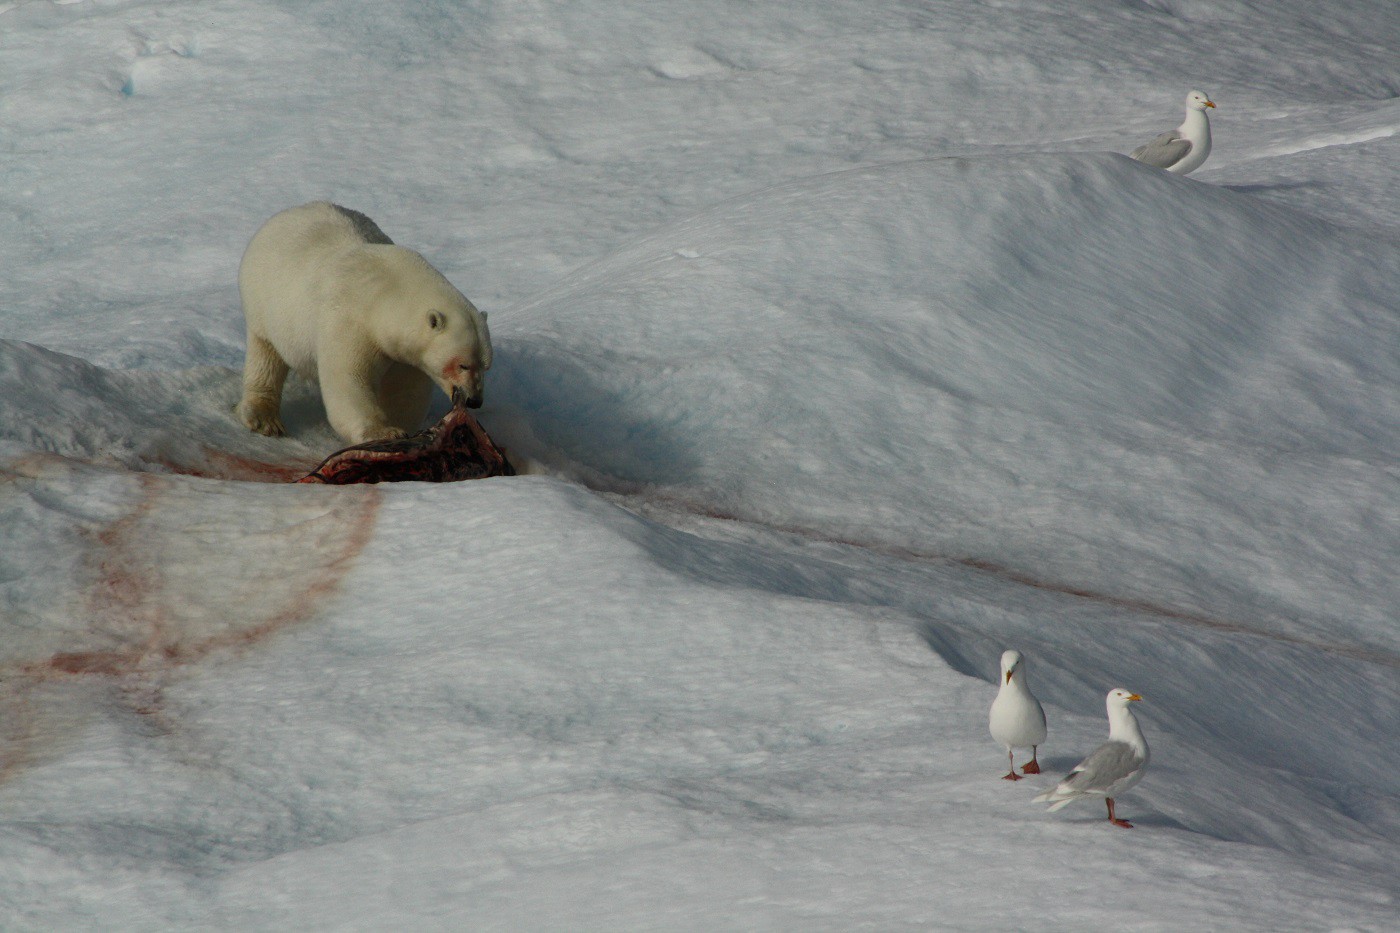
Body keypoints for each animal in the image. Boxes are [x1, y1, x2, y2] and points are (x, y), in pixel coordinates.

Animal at [232, 198, 490, 442]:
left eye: (486, 366)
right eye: (462, 364)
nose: (475, 400)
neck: (386, 292)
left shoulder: (405, 352)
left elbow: (405, 391)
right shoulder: (351, 323)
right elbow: (349, 378)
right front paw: (384, 433)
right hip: (264, 302)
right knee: (266, 356)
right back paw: (264, 419)